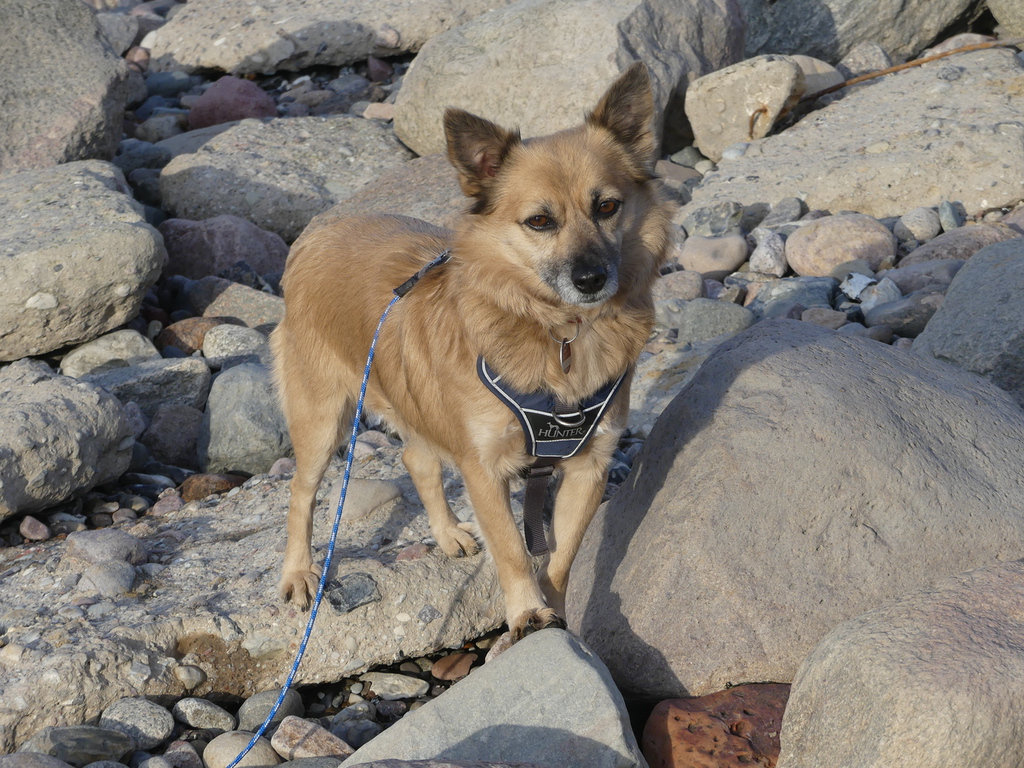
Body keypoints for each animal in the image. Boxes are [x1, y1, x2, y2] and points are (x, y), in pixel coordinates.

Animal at [271, 62, 671, 640]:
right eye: (540, 221)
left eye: (608, 207)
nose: (591, 279)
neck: (556, 333)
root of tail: (317, 231)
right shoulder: (484, 468)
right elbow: (512, 550)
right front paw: (527, 613)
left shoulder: (587, 466)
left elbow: (560, 556)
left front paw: (556, 612)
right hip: (322, 419)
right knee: (302, 494)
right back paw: (299, 572)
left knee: (417, 458)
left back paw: (446, 533)